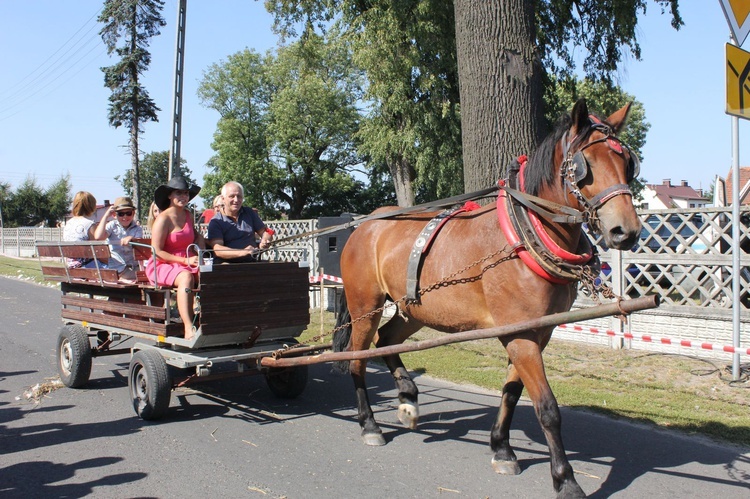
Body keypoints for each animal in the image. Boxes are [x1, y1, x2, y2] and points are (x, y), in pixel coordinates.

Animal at [332, 98, 644, 499]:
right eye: (583, 166)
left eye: (627, 163)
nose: (626, 231)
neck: (527, 234)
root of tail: (364, 225)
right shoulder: (520, 333)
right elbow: (547, 407)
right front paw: (566, 479)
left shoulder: (536, 332)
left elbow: (512, 392)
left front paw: (502, 449)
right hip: (365, 307)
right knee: (357, 358)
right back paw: (370, 424)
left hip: (413, 309)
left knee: (386, 341)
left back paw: (407, 396)